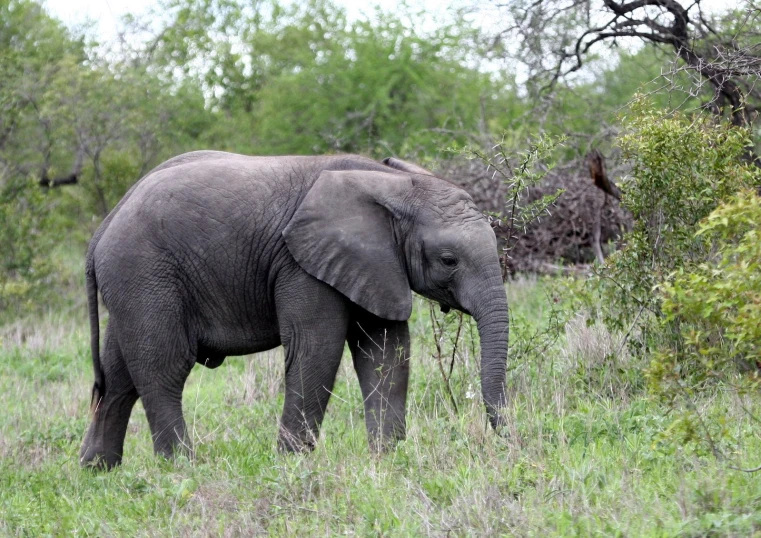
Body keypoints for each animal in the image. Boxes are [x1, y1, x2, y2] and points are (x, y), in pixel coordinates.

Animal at [80, 149, 508, 466]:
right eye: (449, 260)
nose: (506, 441)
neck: (392, 183)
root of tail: (102, 228)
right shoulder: (301, 263)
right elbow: (316, 349)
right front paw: (292, 463)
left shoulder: (374, 263)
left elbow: (386, 351)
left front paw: (386, 458)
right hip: (143, 272)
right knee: (164, 369)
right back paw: (181, 468)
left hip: (132, 284)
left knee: (118, 377)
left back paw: (98, 470)